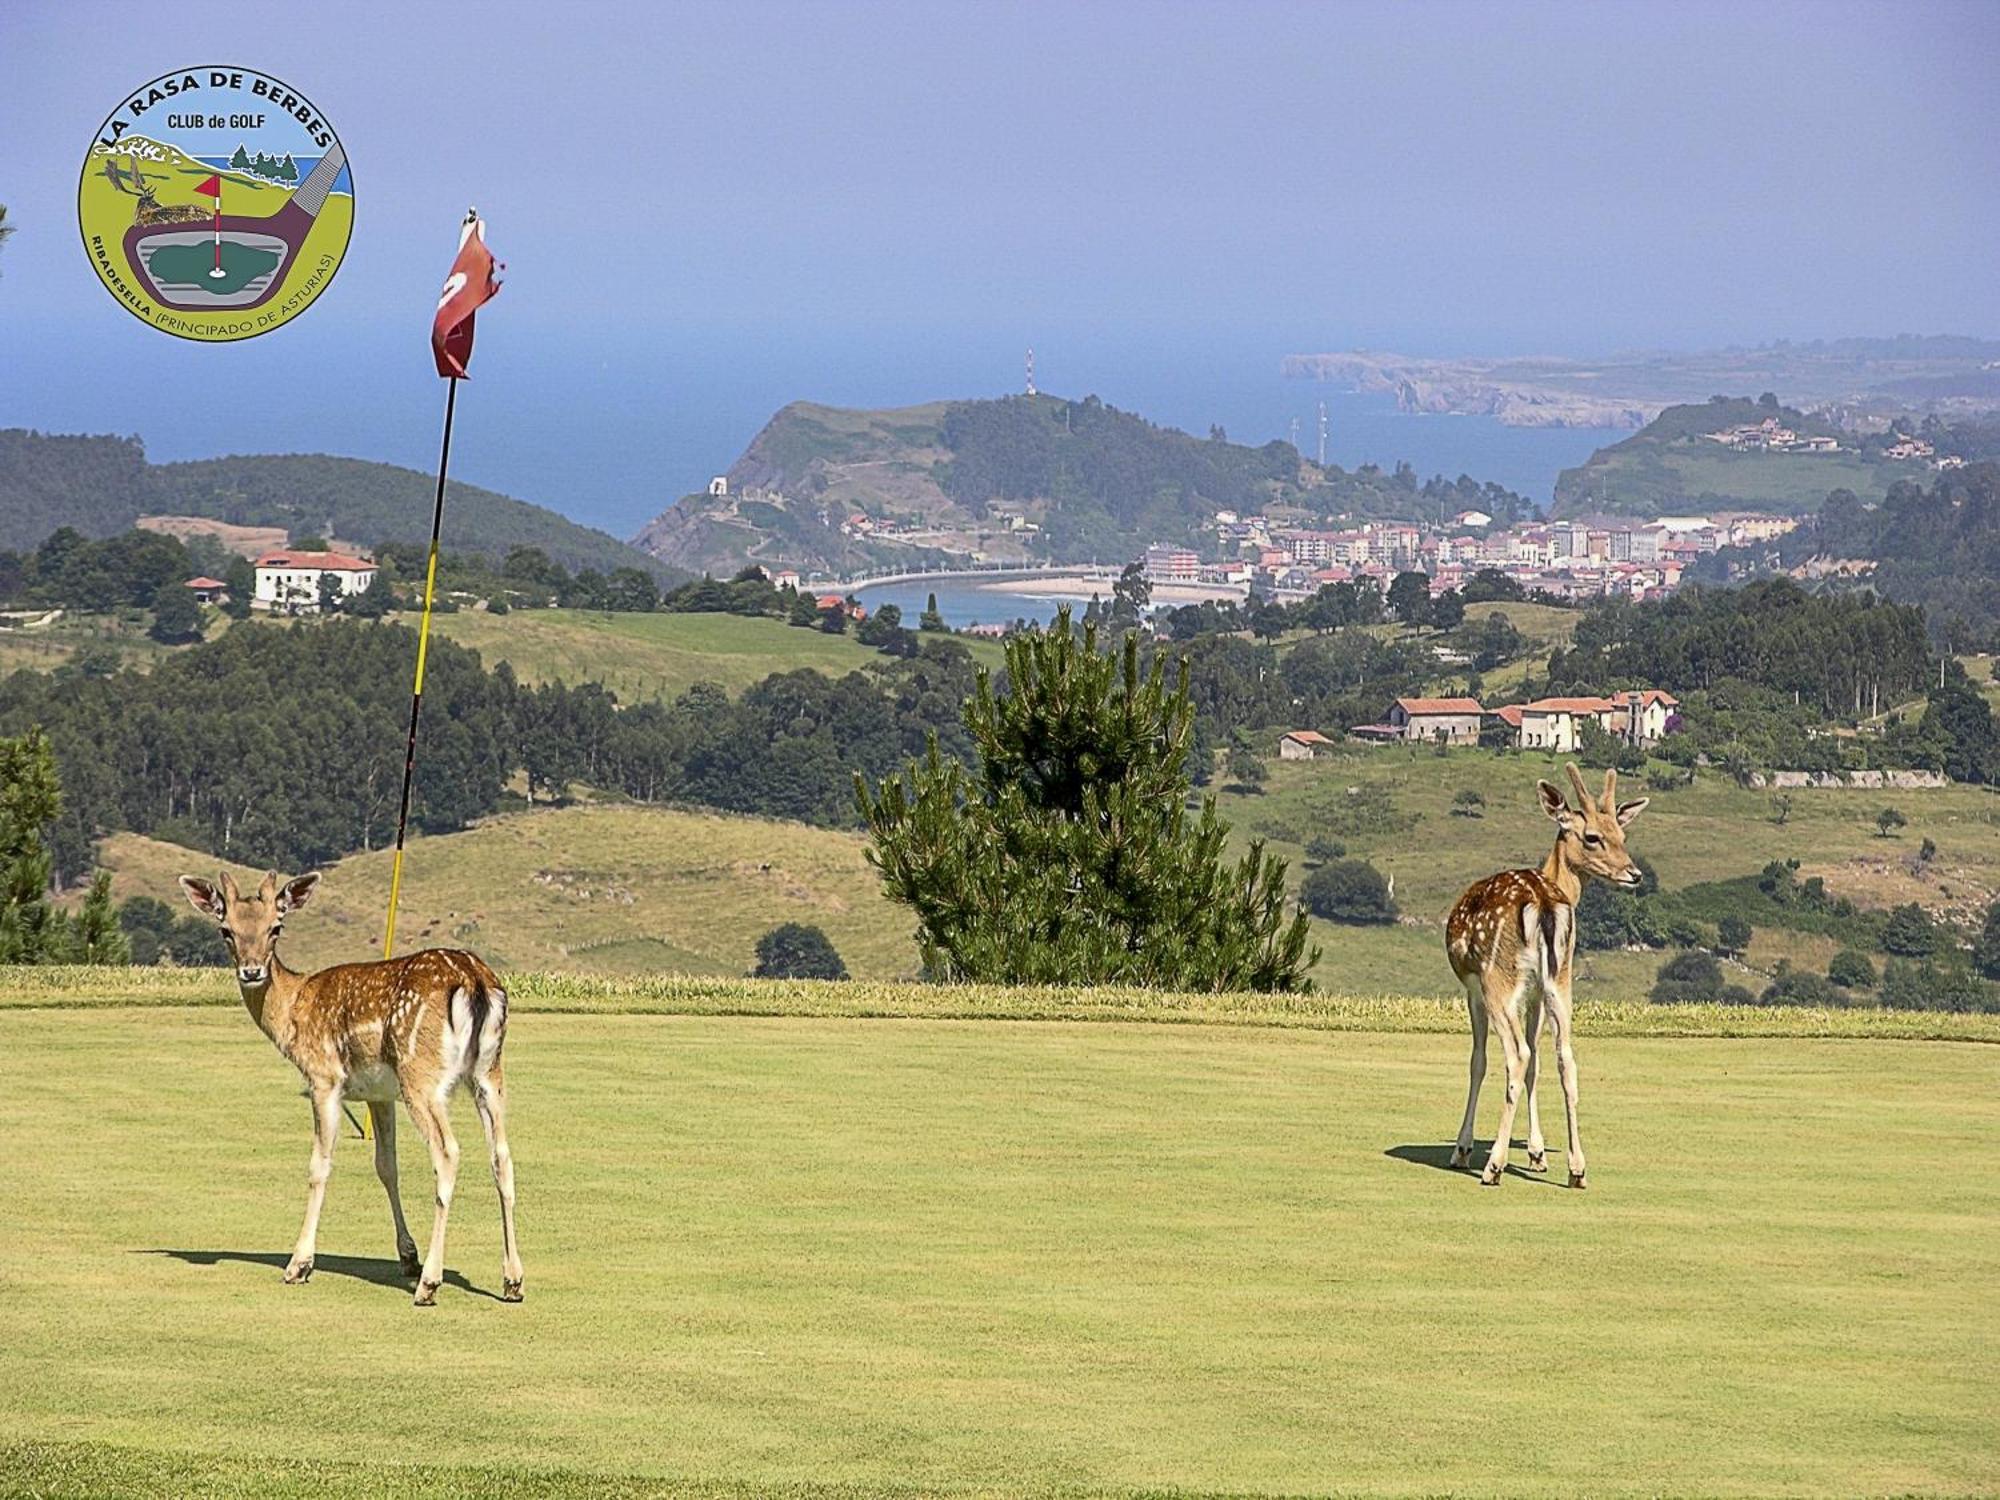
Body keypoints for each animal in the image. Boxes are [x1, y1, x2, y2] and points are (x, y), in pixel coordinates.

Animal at [178, 868, 524, 1304]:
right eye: (226, 929)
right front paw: (406, 1256)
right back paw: (512, 1280)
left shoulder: (324, 1078)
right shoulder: (379, 1093)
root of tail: (474, 981)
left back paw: (429, 1283)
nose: (252, 971)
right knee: (502, 1156)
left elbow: (319, 1166)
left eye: (276, 927)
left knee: (448, 1152)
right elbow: (386, 1166)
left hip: (421, 1074)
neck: (293, 1009)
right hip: (489, 1073)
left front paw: (298, 1264)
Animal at [1448, 768, 1648, 1192]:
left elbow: (1479, 1061)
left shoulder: (1474, 988)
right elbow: (1540, 1062)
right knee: (1565, 1058)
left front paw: (1464, 1148)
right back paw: (1577, 1169)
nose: (1634, 874)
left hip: (1499, 978)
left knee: (1516, 1055)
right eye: (1595, 836)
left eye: (1622, 836)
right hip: (1562, 980)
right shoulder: (1539, 993)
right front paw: (1538, 1154)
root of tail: (1542, 901)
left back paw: (1493, 1166)